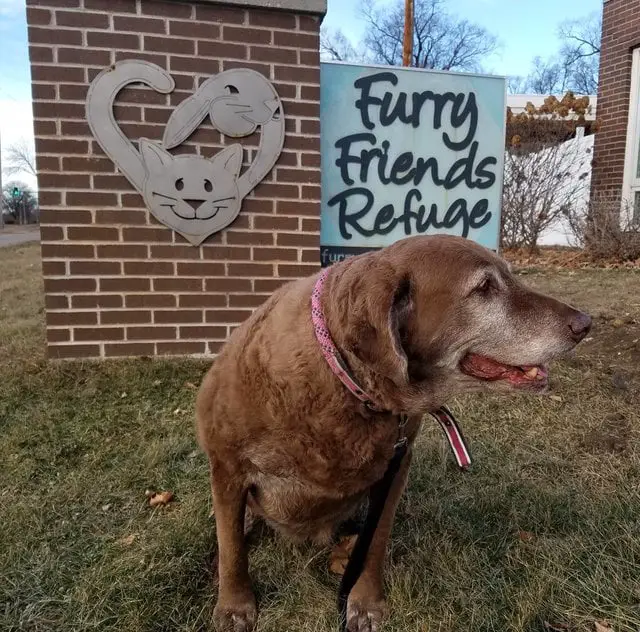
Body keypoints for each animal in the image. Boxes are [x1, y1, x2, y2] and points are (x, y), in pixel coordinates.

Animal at [195, 235, 592, 628]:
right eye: (484, 287)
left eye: (510, 275)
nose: (585, 323)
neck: (348, 378)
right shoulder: (228, 468)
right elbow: (232, 548)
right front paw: (234, 606)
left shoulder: (396, 468)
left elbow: (376, 541)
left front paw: (365, 602)